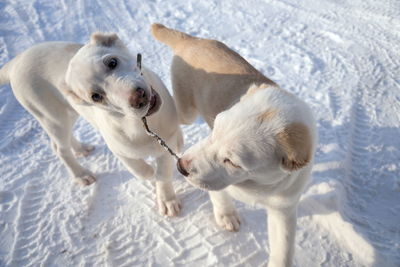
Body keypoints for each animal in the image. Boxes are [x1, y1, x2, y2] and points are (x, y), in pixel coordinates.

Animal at [0, 33, 183, 218]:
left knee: (61, 141)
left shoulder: (166, 142)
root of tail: (17, 61)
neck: (141, 123)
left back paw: (81, 149)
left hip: (68, 113)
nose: (137, 97)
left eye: (112, 62)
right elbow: (140, 170)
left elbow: (164, 172)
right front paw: (154, 178)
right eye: (96, 96)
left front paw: (166, 199)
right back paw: (81, 175)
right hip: (52, 117)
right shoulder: (120, 150)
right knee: (60, 149)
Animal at [152, 24, 318, 266]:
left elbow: (283, 249)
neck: (258, 185)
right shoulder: (217, 183)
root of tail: (192, 40)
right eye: (215, 130)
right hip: (187, 111)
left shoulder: (284, 208)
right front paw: (226, 215)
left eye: (232, 161)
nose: (181, 167)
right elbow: (219, 195)